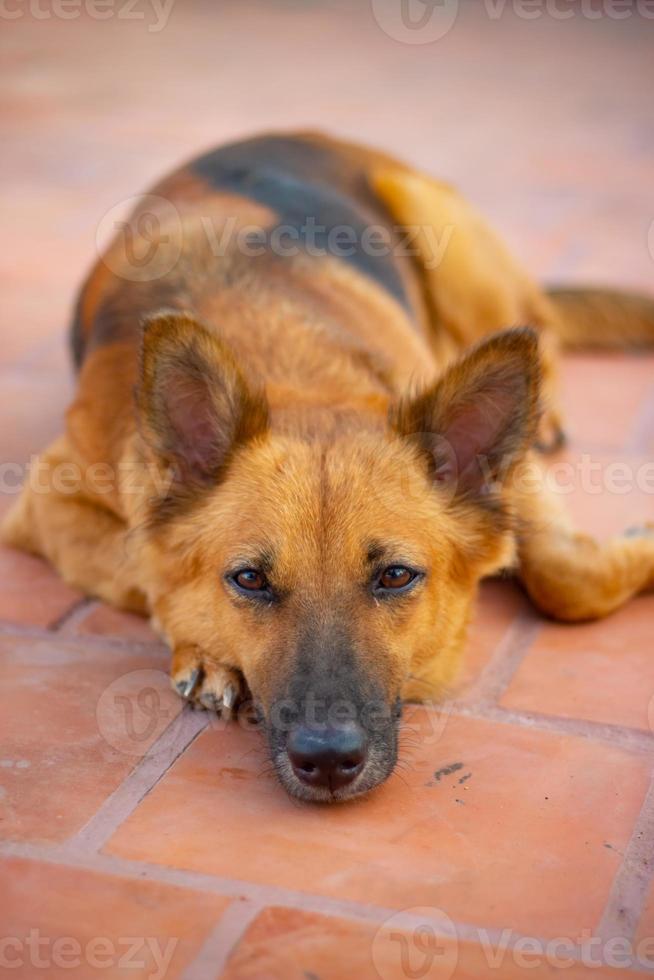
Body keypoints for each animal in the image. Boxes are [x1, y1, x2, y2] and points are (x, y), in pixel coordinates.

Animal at [1, 130, 654, 800]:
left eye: (395, 576)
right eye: (249, 580)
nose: (329, 762)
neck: (291, 369)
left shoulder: (512, 478)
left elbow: (566, 577)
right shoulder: (46, 502)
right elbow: (147, 568)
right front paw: (203, 648)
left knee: (542, 326)